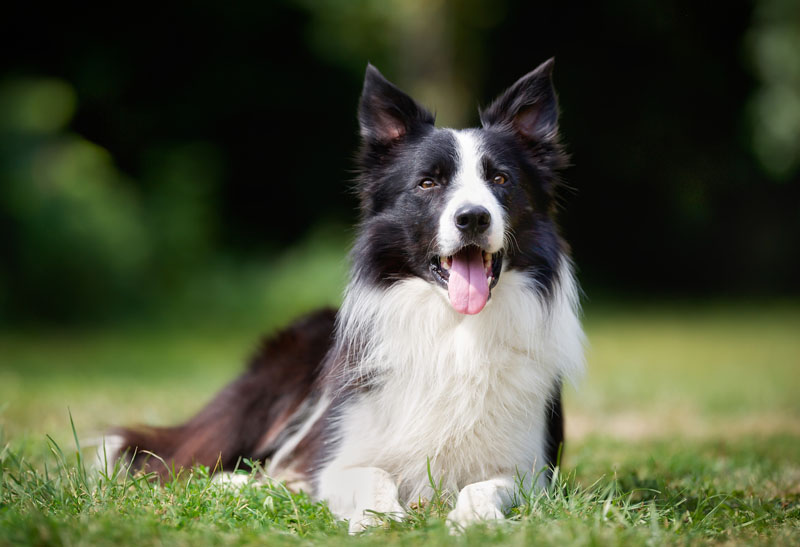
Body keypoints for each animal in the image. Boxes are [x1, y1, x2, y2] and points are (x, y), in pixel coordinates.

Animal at [109, 58, 584, 532]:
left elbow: (484, 486)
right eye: (428, 184)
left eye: (500, 179)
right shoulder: (339, 456)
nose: (473, 217)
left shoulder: (531, 470)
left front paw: (475, 520)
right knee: (192, 462)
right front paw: (380, 519)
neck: (454, 329)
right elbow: (370, 475)